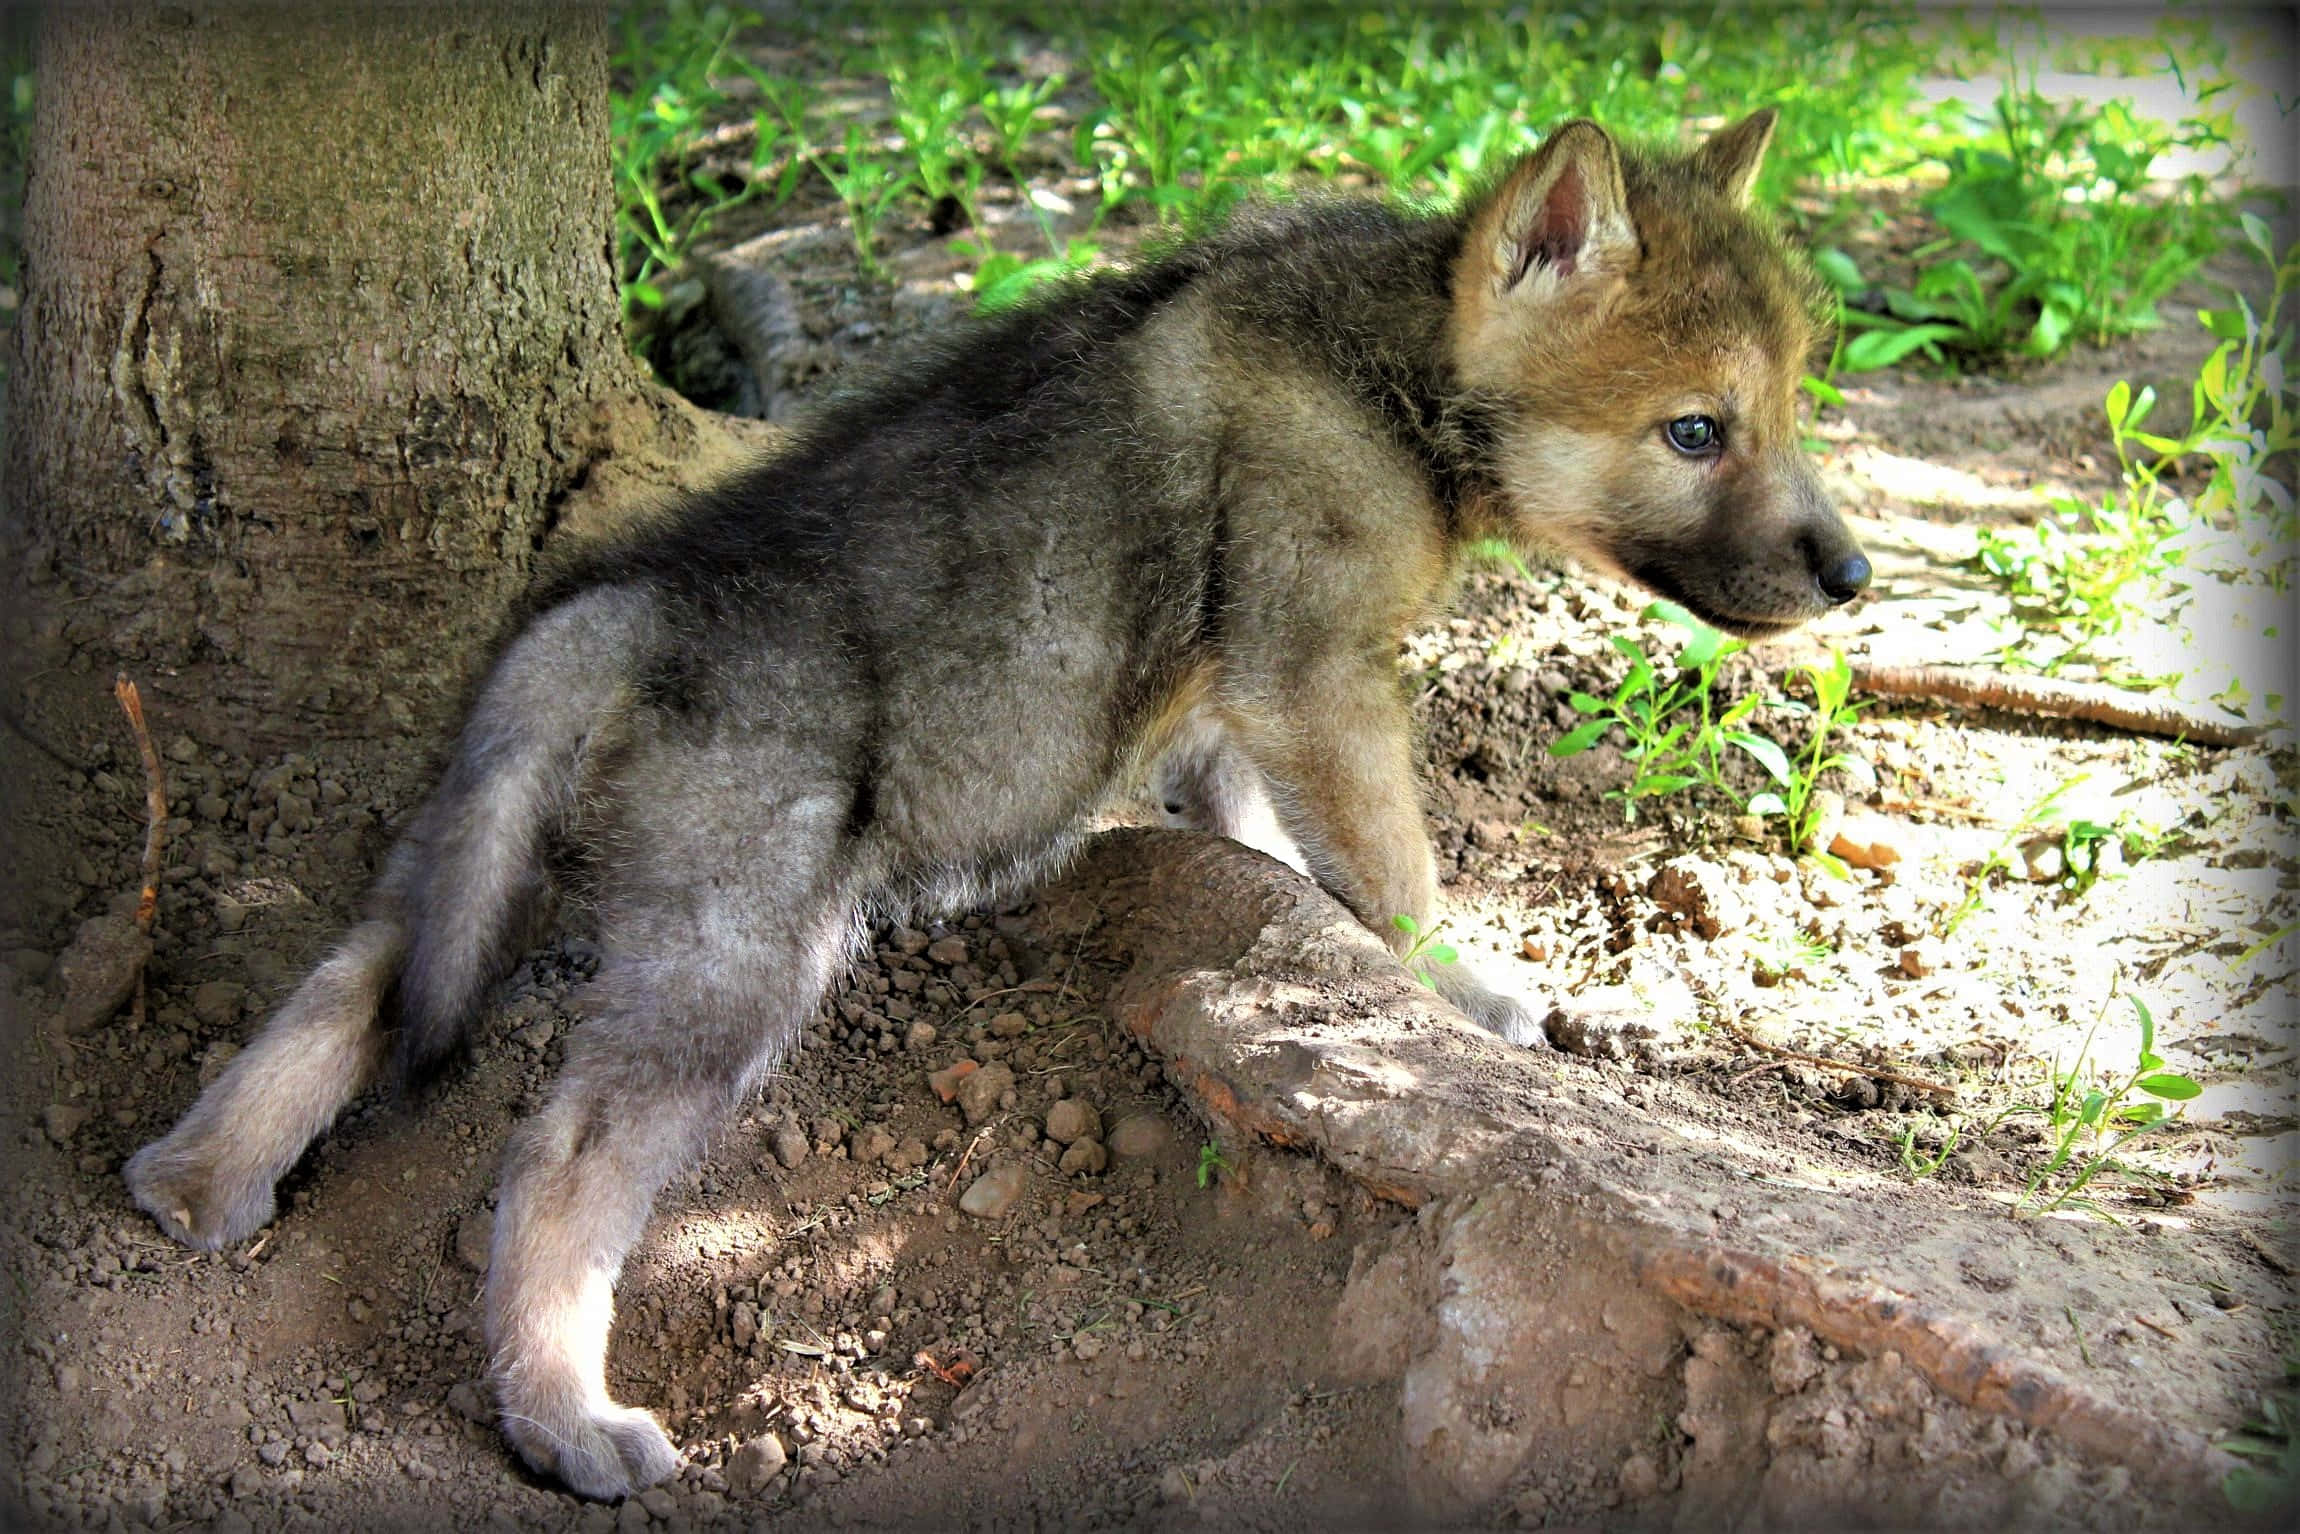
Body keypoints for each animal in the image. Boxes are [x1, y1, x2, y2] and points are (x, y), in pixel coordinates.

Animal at [125, 111, 1867, 1499]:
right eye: (1695, 430)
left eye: (1792, 407)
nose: (1856, 576)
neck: (1393, 367)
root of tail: (621, 612)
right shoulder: (1314, 673)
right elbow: (1394, 867)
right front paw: (1475, 992)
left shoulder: (1232, 699)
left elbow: (1260, 831)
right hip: (733, 962)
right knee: (558, 1160)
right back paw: (562, 1418)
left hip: (485, 871)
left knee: (346, 984)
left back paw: (195, 1182)